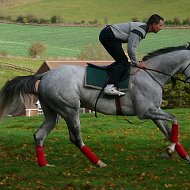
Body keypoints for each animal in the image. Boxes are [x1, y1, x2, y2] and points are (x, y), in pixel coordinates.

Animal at [0, 44, 190, 166]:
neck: (151, 74)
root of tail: (44, 75)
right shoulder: (146, 112)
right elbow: (175, 119)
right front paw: (171, 149)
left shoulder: (154, 111)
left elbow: (169, 130)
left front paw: (183, 155)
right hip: (70, 109)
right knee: (75, 138)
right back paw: (99, 162)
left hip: (52, 113)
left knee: (39, 135)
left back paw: (44, 165)